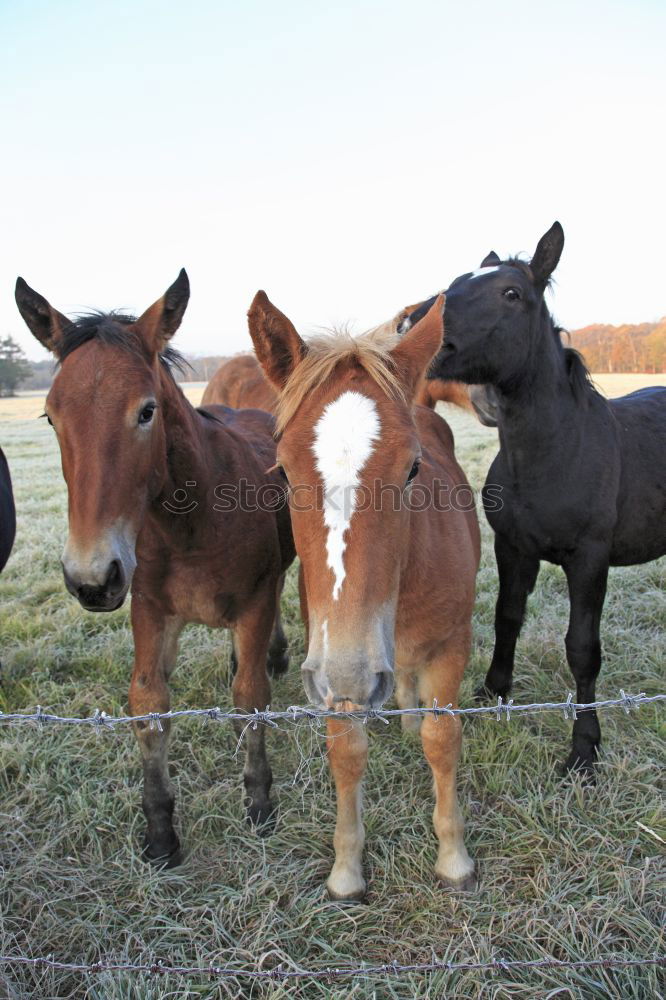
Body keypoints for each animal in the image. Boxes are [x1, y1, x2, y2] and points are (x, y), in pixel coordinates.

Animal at [14, 272, 294, 868]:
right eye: (51, 416)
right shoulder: (147, 607)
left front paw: (259, 802)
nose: (91, 578)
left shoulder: (255, 601)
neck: (190, 525)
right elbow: (148, 703)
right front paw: (160, 831)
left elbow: (251, 697)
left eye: (146, 411)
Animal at [248, 288, 478, 900]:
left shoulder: (451, 644)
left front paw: (454, 858)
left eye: (413, 468)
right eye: (283, 472)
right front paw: (347, 869)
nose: (353, 672)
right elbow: (346, 751)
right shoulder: (330, 657)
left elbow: (443, 738)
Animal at [426, 223, 664, 776]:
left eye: (511, 294)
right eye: (458, 279)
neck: (557, 450)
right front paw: (493, 693)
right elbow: (507, 617)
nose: (413, 322)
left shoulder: (589, 559)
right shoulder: (513, 547)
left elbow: (582, 649)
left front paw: (584, 748)